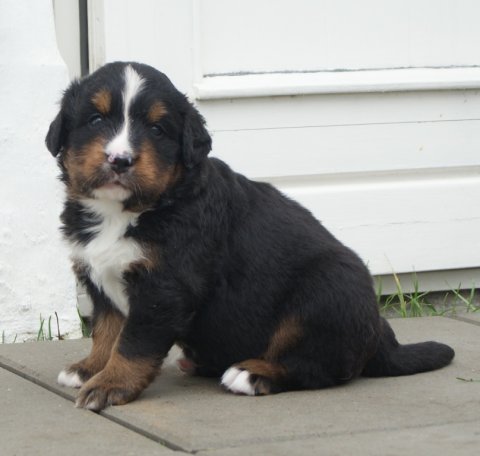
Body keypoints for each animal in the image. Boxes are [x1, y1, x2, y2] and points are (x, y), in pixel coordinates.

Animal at [46, 62, 454, 411]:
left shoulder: (164, 288)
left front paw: (109, 384)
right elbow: (106, 331)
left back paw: (252, 374)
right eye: (95, 119)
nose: (120, 160)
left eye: (157, 129)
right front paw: (89, 368)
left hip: (326, 290)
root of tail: (377, 331)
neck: (127, 212)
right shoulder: (101, 279)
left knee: (318, 367)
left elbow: (132, 345)